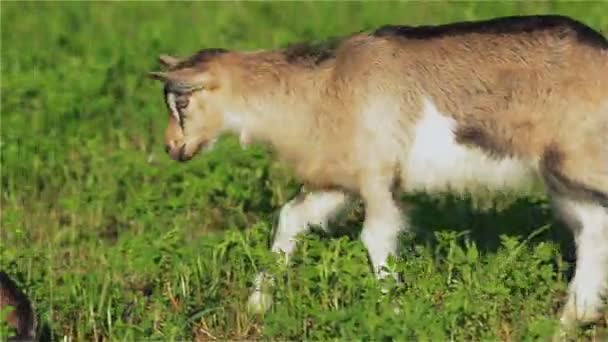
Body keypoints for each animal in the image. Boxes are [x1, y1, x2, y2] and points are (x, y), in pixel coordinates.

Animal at [148, 15, 608, 326]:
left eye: (183, 101)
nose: (172, 148)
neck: (322, 87)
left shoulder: (377, 178)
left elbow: (376, 238)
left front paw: (395, 312)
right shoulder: (339, 181)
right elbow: (291, 217)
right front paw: (258, 304)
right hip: (566, 177)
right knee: (592, 229)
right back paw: (573, 318)